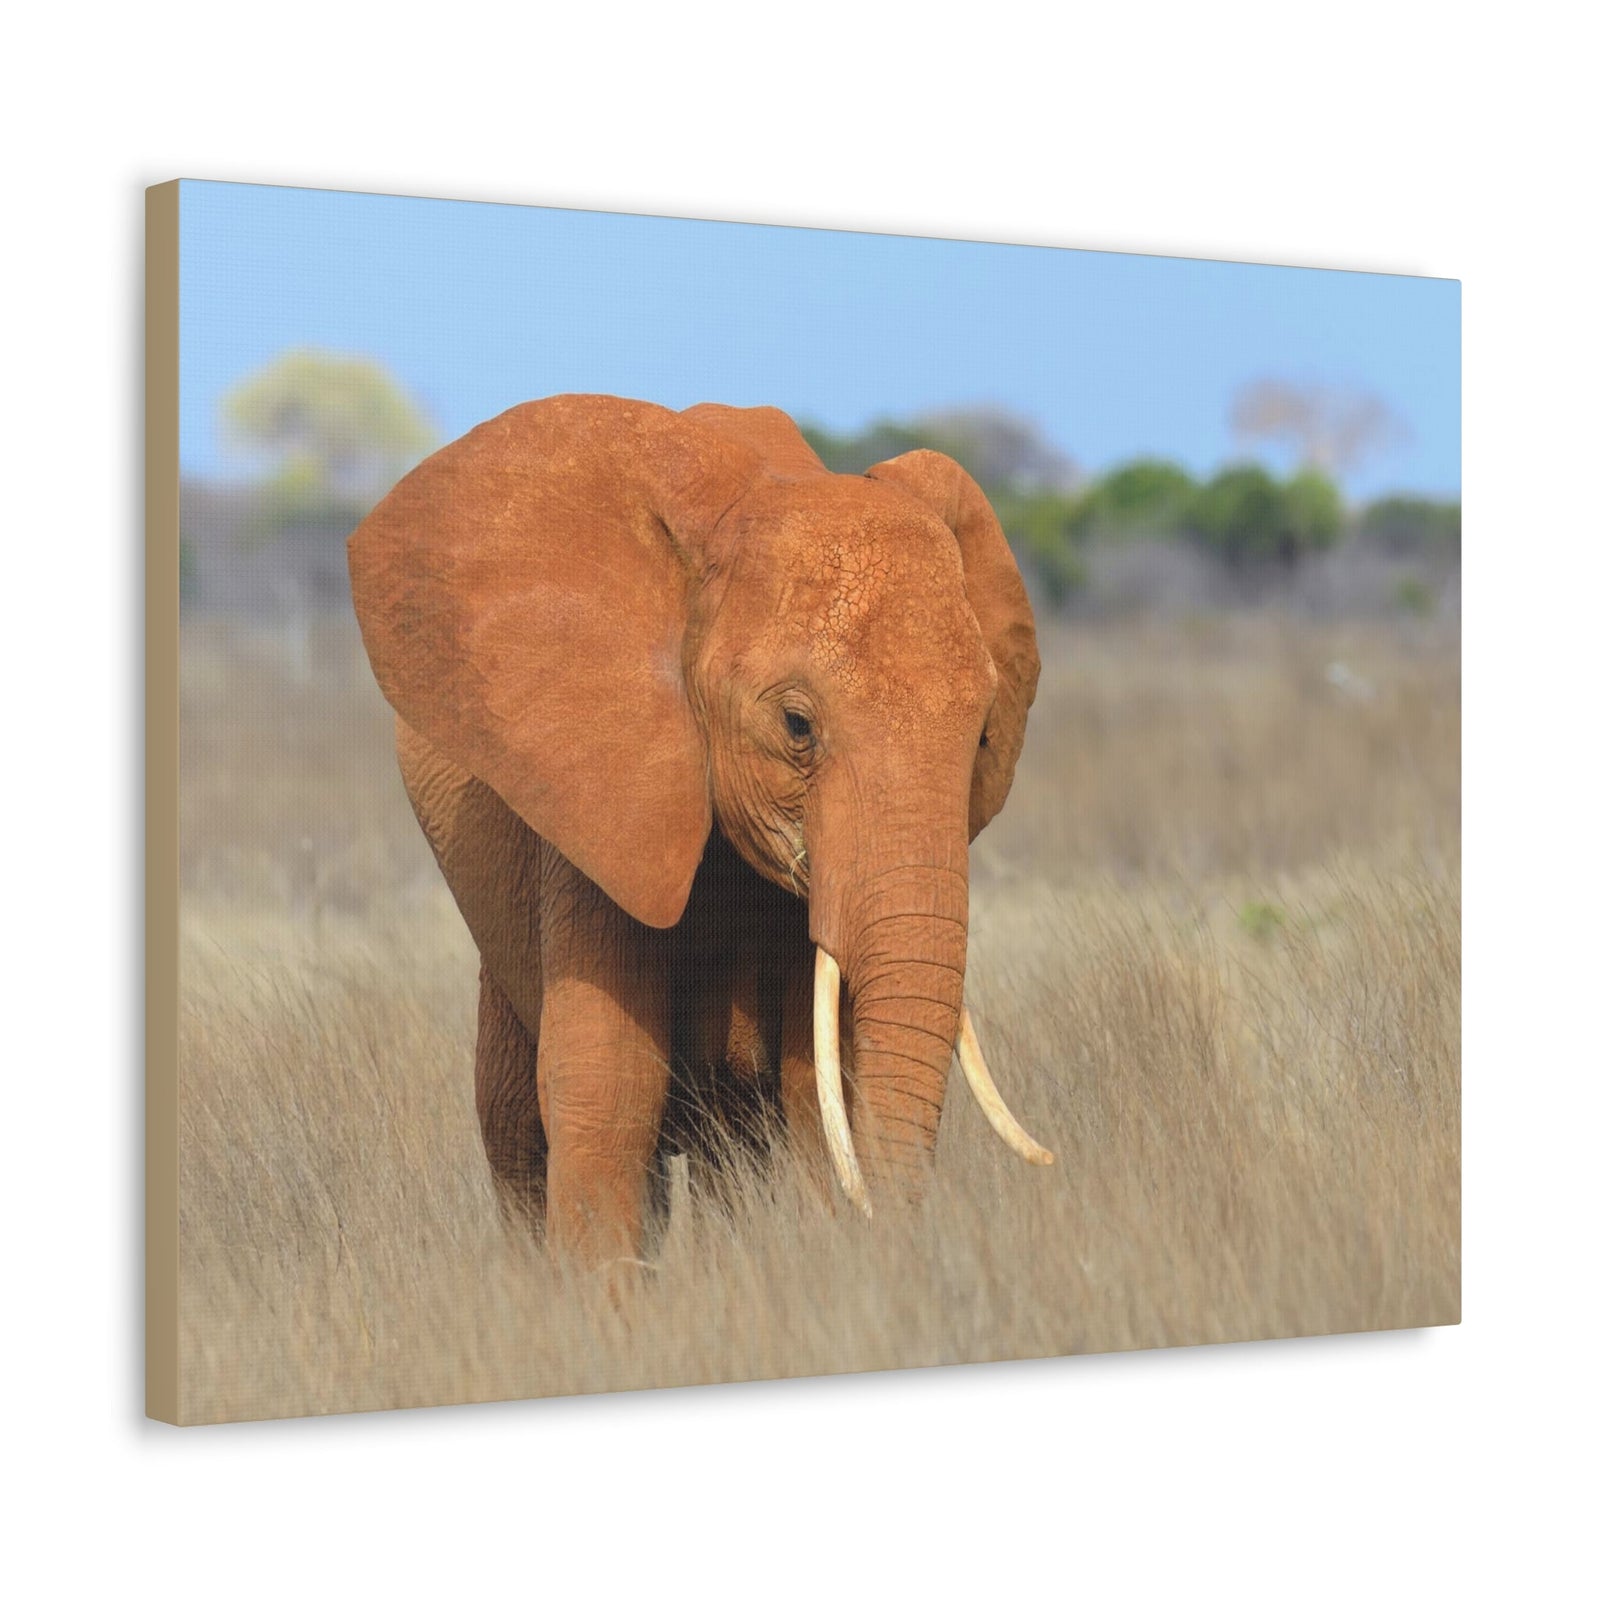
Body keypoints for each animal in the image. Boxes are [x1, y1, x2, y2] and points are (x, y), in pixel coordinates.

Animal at [348, 393, 1052, 1264]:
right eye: (796, 726)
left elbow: (812, 1087)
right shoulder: (593, 798)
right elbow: (607, 1085)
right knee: (516, 1126)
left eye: (984, 733)